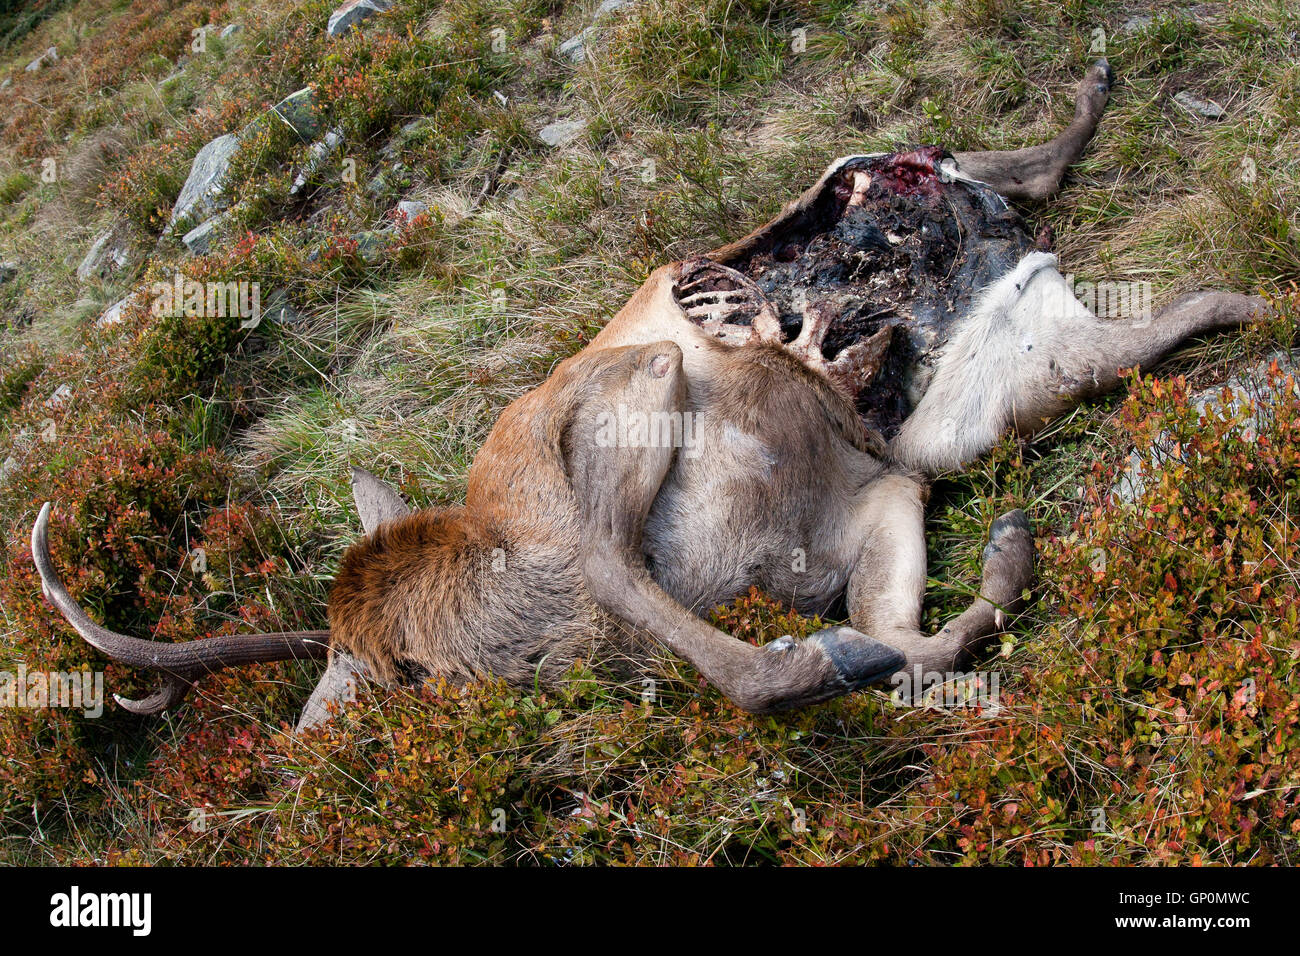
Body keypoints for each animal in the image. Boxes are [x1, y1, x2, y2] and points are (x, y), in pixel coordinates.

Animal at [31, 60, 1270, 731]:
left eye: (360, 670)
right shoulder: (884, 497)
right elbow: (904, 636)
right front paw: (982, 575)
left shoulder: (622, 398)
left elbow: (647, 578)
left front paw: (817, 660)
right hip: (1022, 355)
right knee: (1130, 275)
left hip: (844, 233)